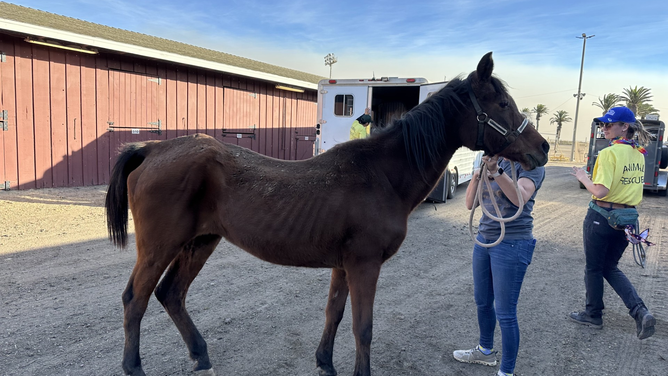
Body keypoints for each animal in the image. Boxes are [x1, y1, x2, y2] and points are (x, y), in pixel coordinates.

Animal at [107, 53, 552, 376]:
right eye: (502, 104)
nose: (543, 148)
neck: (380, 175)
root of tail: (153, 149)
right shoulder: (365, 265)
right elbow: (362, 327)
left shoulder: (344, 265)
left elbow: (334, 315)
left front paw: (325, 363)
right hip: (160, 247)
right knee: (135, 299)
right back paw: (135, 367)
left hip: (200, 242)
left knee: (171, 294)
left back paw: (202, 357)